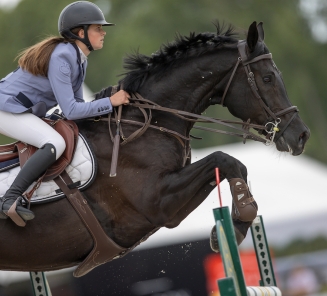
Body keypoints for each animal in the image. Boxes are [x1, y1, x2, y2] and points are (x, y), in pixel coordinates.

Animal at [0, 21, 310, 276]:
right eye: (268, 78)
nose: (301, 136)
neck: (143, 125)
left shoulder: (170, 207)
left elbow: (227, 166)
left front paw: (234, 226)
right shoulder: (157, 202)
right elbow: (226, 159)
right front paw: (240, 220)